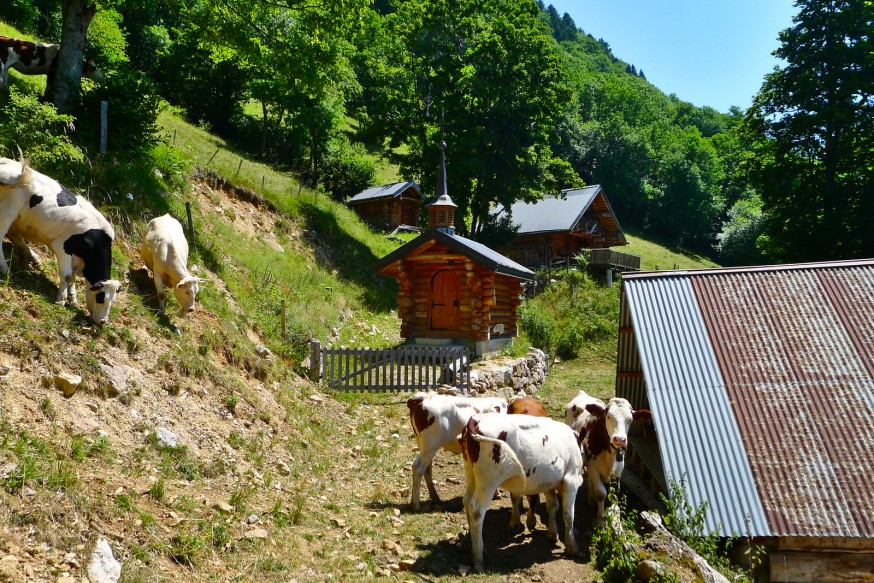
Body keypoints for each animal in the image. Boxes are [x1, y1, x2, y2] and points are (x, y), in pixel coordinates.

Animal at [0, 157, 123, 326]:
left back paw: (34, 259)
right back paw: (4, 268)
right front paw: (61, 299)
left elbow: (73, 278)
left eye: (113, 300)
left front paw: (72, 297)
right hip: (7, 211)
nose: (103, 321)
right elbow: (67, 275)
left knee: (15, 236)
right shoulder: (63, 248)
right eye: (101, 298)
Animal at [456, 412, 580, 572]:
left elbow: (552, 506)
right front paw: (572, 547)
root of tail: (475, 420)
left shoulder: (549, 483)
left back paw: (478, 547)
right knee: (476, 511)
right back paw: (478, 558)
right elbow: (568, 514)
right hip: (488, 482)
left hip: (471, 473)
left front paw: (553, 534)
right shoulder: (571, 480)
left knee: (466, 501)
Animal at [564, 392, 652, 524]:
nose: (620, 439)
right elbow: (601, 493)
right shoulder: (593, 465)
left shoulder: (620, 468)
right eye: (609, 416)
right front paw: (601, 520)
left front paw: (615, 518)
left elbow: (614, 492)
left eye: (630, 420)